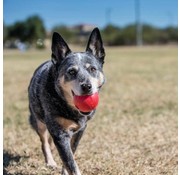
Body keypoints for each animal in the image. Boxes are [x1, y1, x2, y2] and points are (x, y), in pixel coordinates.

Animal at [28, 28, 105, 174]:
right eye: (71, 72)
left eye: (92, 69)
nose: (87, 86)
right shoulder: (59, 133)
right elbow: (70, 161)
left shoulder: (80, 130)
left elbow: (70, 155)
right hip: (38, 120)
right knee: (44, 141)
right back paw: (50, 162)